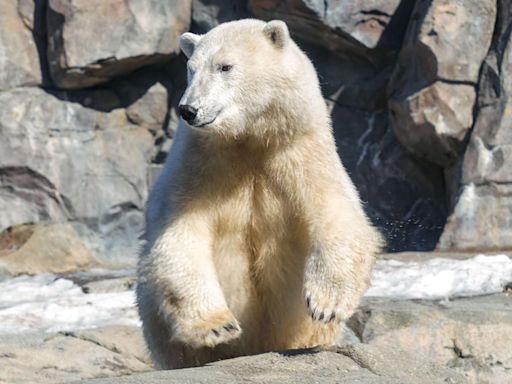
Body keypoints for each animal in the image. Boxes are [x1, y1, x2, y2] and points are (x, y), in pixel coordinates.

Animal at [134, 18, 382, 368]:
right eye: (191, 69)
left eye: (225, 66)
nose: (188, 109)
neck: (250, 140)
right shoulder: (199, 164)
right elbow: (180, 235)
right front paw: (217, 325)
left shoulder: (301, 154)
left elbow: (338, 216)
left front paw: (325, 304)